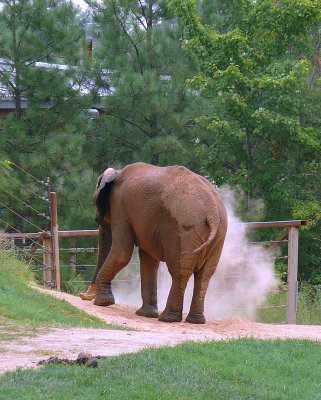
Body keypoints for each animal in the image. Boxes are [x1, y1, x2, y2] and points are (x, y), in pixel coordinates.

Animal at [79, 161, 226, 324]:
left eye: (97, 219)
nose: (82, 296)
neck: (117, 172)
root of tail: (212, 212)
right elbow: (148, 260)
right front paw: (146, 314)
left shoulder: (120, 207)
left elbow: (122, 253)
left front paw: (103, 303)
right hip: (218, 233)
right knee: (205, 274)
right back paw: (195, 321)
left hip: (184, 228)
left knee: (180, 271)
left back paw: (168, 318)